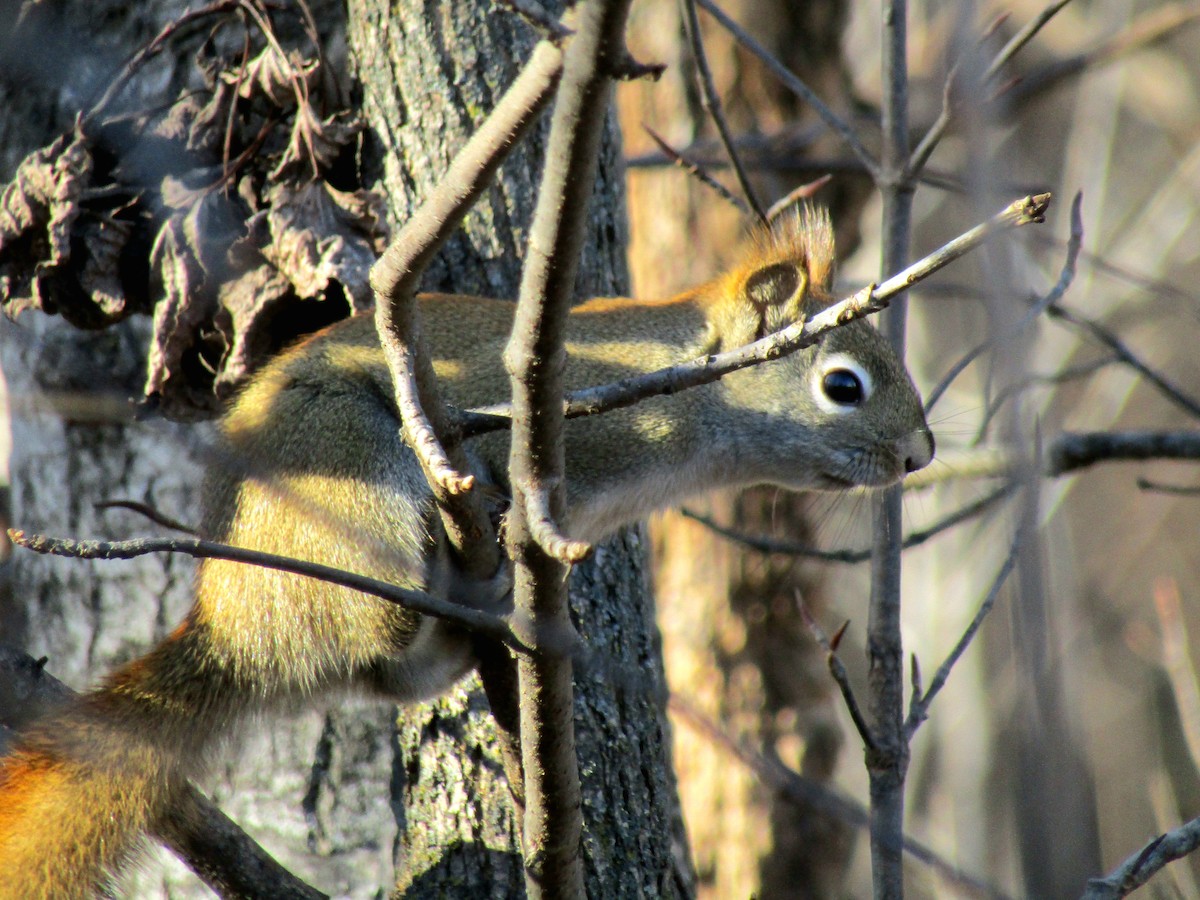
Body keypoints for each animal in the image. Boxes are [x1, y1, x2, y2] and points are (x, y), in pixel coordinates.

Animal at [0, 207, 933, 896]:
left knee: (382, 668)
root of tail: (238, 623)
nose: (920, 454)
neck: (675, 401)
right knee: (373, 621)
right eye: (842, 385)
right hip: (349, 481)